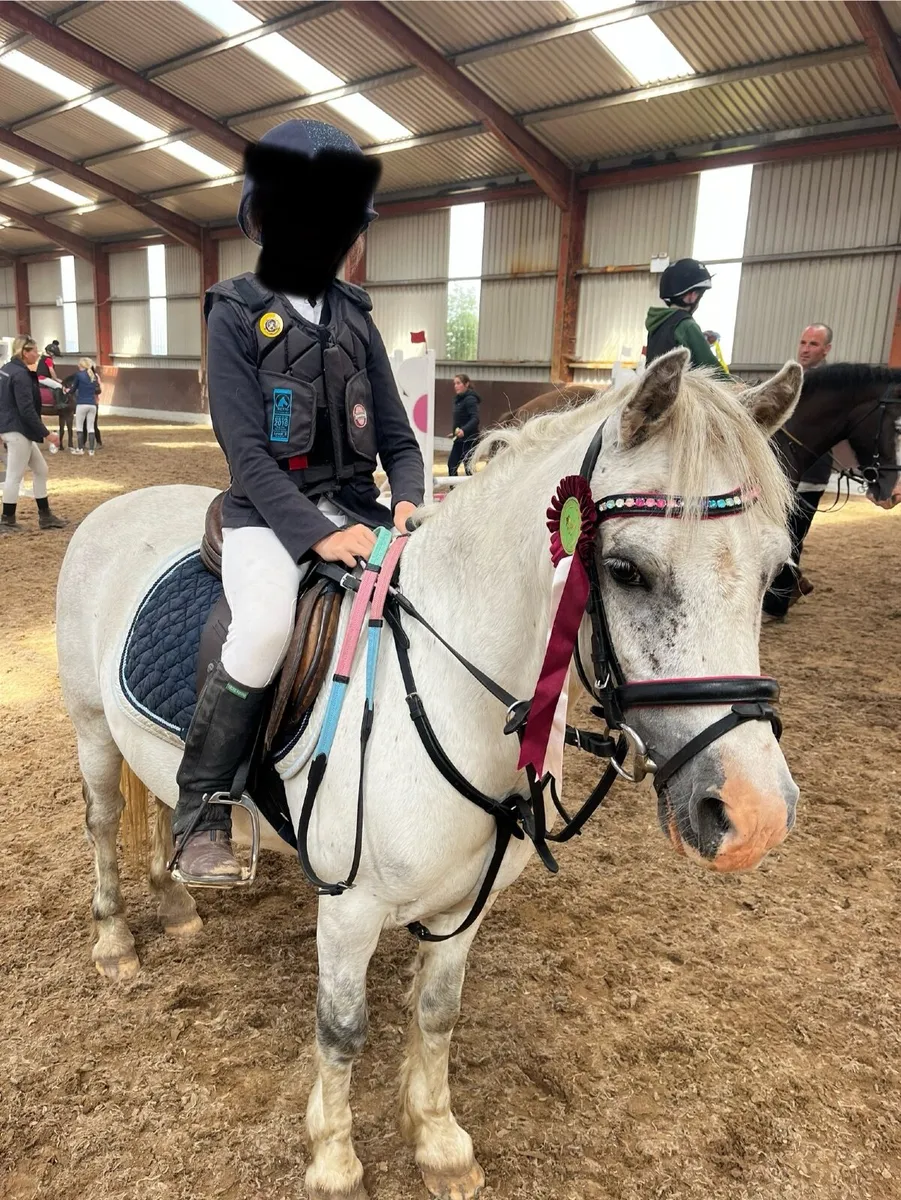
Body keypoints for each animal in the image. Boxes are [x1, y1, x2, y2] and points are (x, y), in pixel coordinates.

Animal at [56, 349, 802, 1200]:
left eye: (774, 571)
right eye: (625, 570)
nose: (754, 814)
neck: (452, 698)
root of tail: (120, 506)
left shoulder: (467, 903)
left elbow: (438, 1014)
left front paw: (439, 1142)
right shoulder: (347, 909)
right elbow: (341, 1031)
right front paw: (335, 1161)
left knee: (159, 806)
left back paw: (177, 900)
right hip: (92, 730)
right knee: (104, 823)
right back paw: (115, 941)